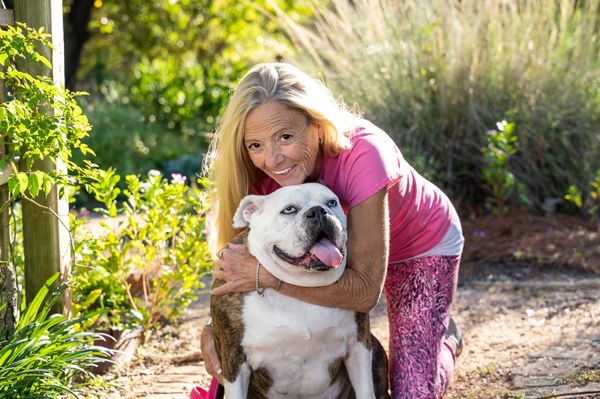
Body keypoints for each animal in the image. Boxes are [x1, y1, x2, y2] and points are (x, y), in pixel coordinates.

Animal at [211, 183, 390, 398]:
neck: (300, 287)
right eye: (289, 210)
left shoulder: (359, 346)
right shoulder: (235, 360)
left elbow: (366, 390)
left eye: (332, 202)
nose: (318, 211)